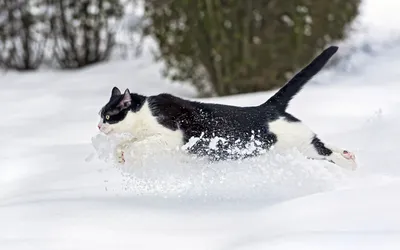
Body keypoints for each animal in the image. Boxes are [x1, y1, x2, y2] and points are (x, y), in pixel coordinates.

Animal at [98, 45, 358, 170]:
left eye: (109, 116)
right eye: (99, 116)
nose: (99, 126)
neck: (143, 113)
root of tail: (266, 107)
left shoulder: (169, 136)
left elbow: (139, 144)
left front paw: (128, 154)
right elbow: (125, 143)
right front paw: (120, 155)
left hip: (300, 142)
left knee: (325, 150)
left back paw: (350, 164)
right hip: (299, 146)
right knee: (324, 144)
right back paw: (349, 155)